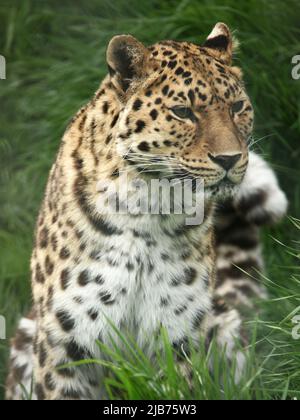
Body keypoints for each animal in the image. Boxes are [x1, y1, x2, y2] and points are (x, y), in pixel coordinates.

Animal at [5, 23, 288, 400]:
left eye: (238, 106)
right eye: (183, 112)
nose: (230, 159)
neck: (150, 207)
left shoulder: (177, 335)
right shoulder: (66, 346)